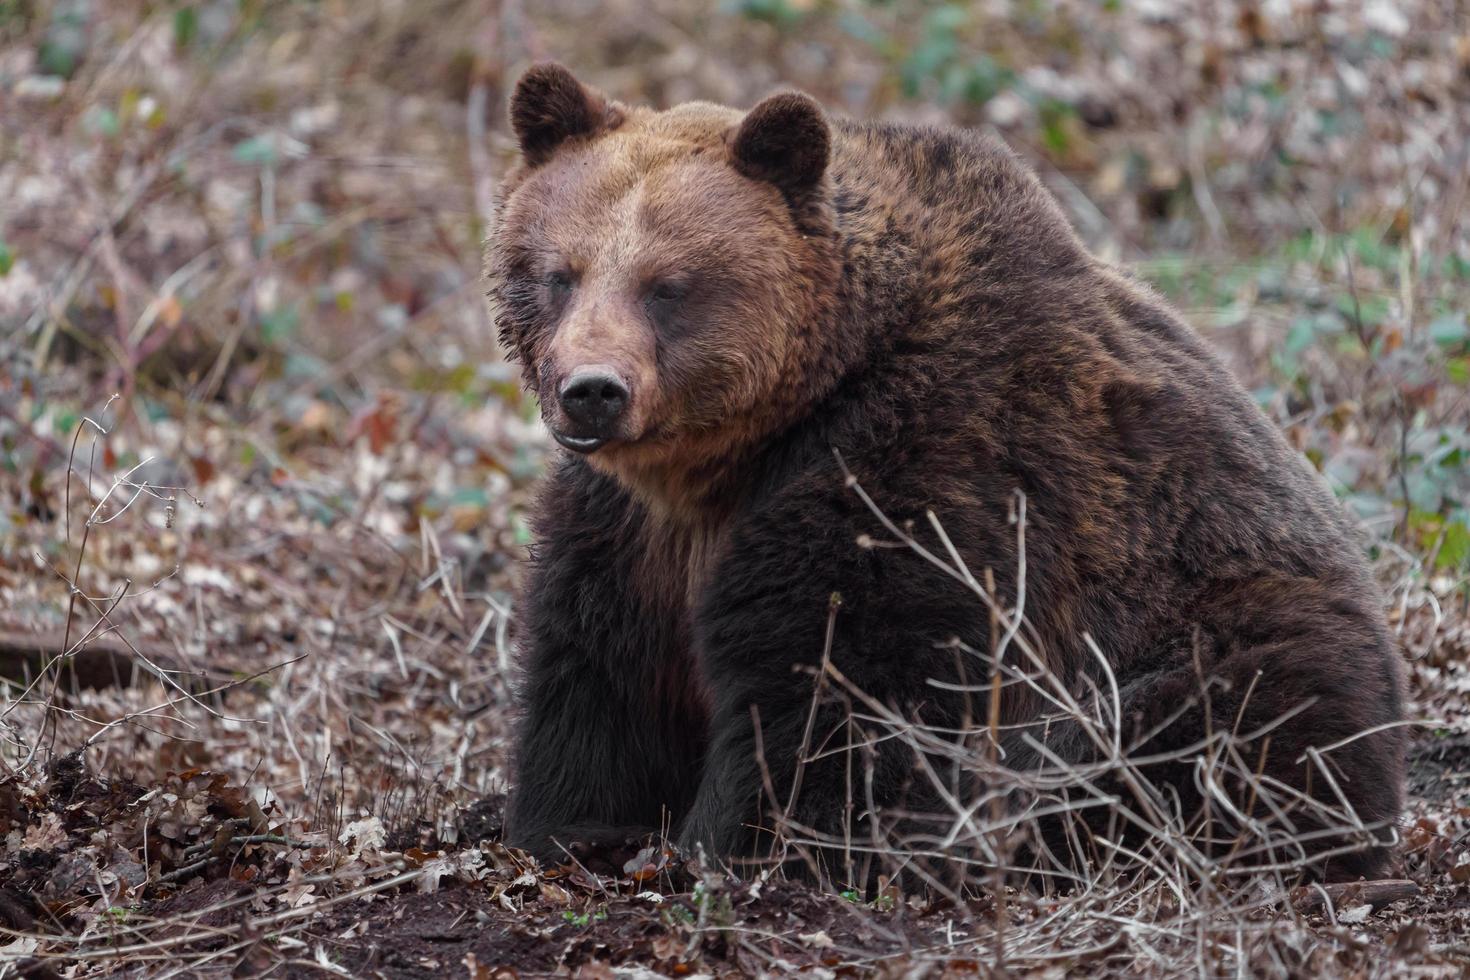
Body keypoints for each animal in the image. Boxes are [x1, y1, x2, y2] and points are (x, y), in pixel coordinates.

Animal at [488, 63, 1405, 887]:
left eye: (668, 285)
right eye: (558, 273)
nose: (593, 391)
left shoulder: (919, 471)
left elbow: (836, 686)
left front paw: (741, 847)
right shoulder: (629, 535)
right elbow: (599, 676)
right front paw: (571, 826)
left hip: (1227, 620)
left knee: (1214, 725)